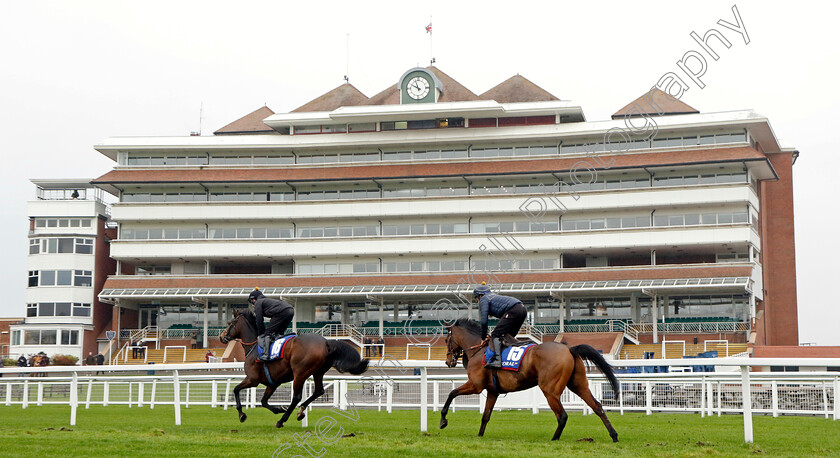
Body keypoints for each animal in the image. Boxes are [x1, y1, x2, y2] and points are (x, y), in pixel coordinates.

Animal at [221, 310, 370, 428]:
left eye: (229, 323)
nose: (221, 337)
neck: (253, 347)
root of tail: (326, 342)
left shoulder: (252, 379)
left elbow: (236, 390)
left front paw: (242, 414)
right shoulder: (272, 383)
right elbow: (263, 401)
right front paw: (278, 409)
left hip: (300, 373)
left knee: (297, 397)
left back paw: (282, 420)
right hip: (318, 372)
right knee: (319, 391)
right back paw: (300, 411)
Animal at [442, 316, 620, 442]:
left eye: (446, 340)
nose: (448, 361)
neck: (478, 350)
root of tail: (569, 349)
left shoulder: (475, 385)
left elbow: (451, 393)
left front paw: (443, 421)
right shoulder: (492, 391)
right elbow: (485, 415)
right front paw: (479, 436)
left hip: (550, 390)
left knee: (562, 415)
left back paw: (554, 439)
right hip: (578, 384)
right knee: (597, 407)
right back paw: (614, 435)